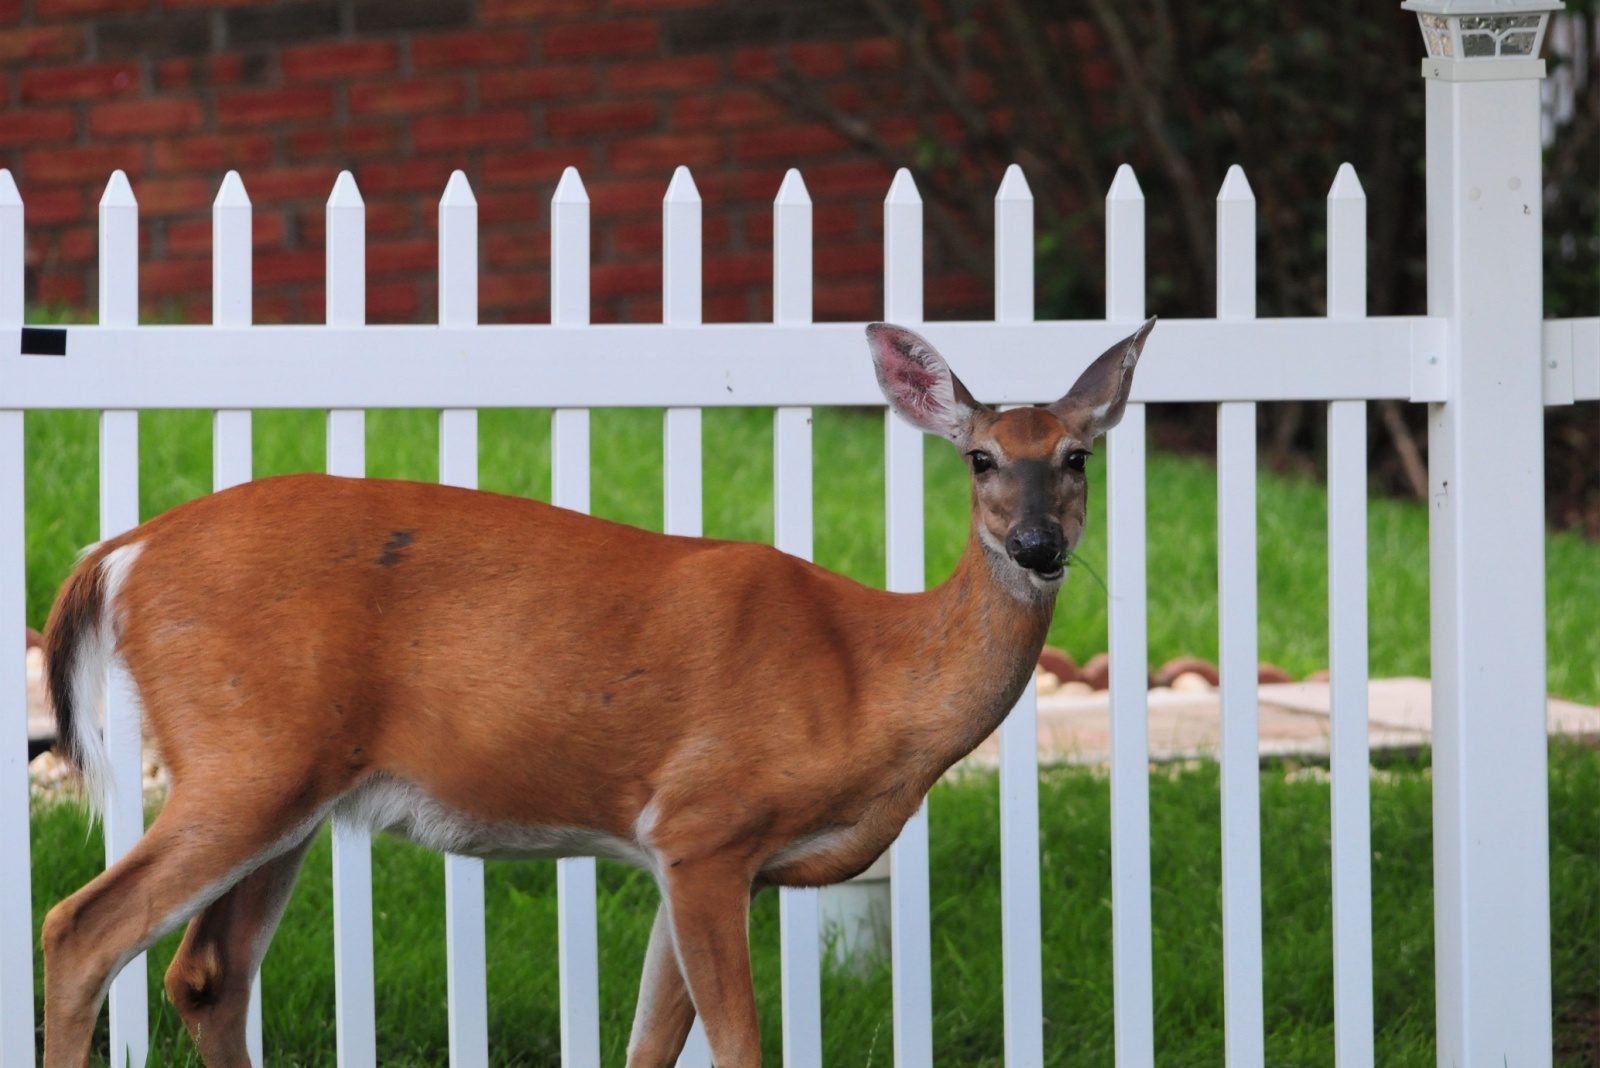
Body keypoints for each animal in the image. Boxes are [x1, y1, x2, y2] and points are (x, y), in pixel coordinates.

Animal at [40, 317, 1153, 1068]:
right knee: (82, 931)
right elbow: (738, 1050)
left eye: (1076, 456)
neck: (869, 676)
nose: (1038, 545)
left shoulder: (696, 858)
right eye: (979, 458)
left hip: (292, 787)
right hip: (247, 757)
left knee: (206, 976)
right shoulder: (706, 821)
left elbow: (648, 1047)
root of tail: (120, 552)